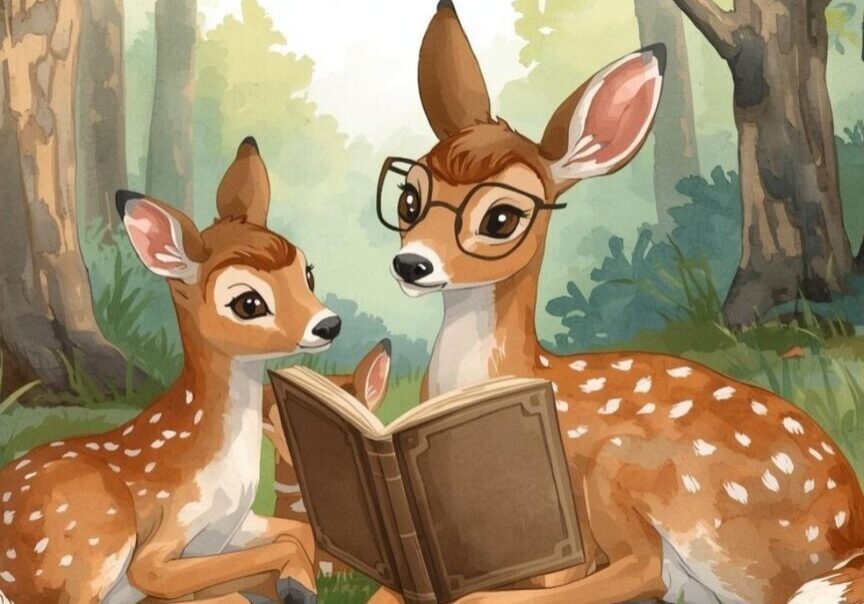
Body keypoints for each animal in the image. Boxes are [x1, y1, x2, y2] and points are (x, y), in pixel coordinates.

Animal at [0, 137, 341, 604]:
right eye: (248, 303)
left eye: (307, 274)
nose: (329, 325)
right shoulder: (161, 546)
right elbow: (262, 554)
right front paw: (293, 587)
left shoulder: (233, 526)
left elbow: (295, 533)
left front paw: (295, 583)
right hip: (85, 538)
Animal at [372, 3, 864, 603]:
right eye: (409, 198)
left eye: (501, 218)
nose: (411, 264)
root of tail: (847, 547)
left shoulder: (565, 526)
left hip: (638, 470)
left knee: (644, 565)